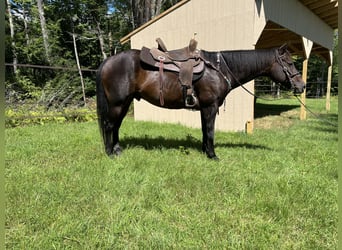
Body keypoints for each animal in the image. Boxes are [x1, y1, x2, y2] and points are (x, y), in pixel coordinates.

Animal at [95, 44, 304, 160]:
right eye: (289, 63)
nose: (301, 86)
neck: (219, 69)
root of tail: (108, 61)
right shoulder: (210, 107)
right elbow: (210, 131)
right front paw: (213, 155)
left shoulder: (205, 108)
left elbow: (205, 130)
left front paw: (205, 151)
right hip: (117, 104)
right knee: (109, 125)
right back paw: (110, 153)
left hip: (124, 104)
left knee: (115, 126)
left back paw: (117, 150)